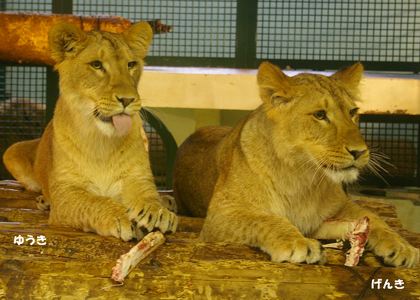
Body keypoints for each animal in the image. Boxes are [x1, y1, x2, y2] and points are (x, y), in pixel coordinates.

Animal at [1, 21, 176, 241]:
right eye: (97, 65)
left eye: (131, 65)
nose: (127, 99)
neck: (101, 140)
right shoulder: (66, 193)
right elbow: (93, 202)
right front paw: (121, 216)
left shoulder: (137, 177)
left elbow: (147, 193)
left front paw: (157, 210)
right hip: (12, 152)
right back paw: (44, 200)